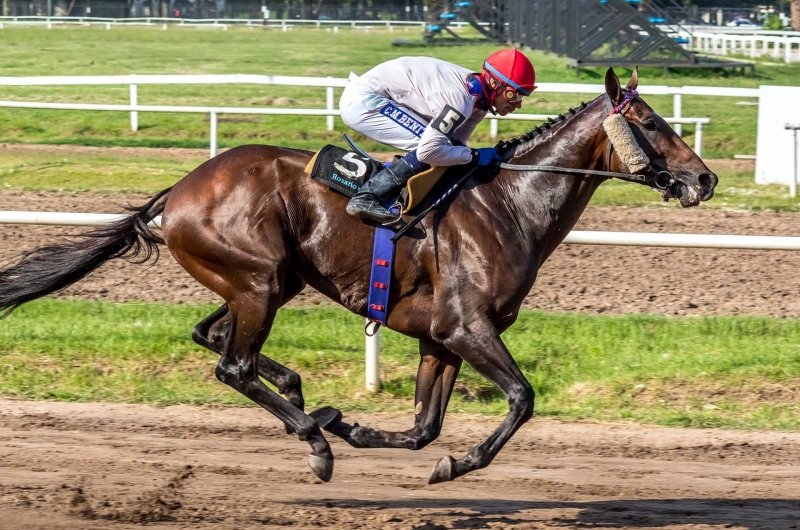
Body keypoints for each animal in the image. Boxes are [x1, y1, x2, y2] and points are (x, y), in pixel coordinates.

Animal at [0, 68, 720, 480]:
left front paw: (357, 427)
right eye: (650, 122)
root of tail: (177, 190)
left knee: (212, 335)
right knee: (232, 364)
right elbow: (521, 398)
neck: (510, 203)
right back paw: (312, 442)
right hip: (259, 280)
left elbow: (424, 427)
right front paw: (458, 464)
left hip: (267, 279)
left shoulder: (440, 338)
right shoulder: (468, 328)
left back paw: (303, 400)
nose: (705, 179)